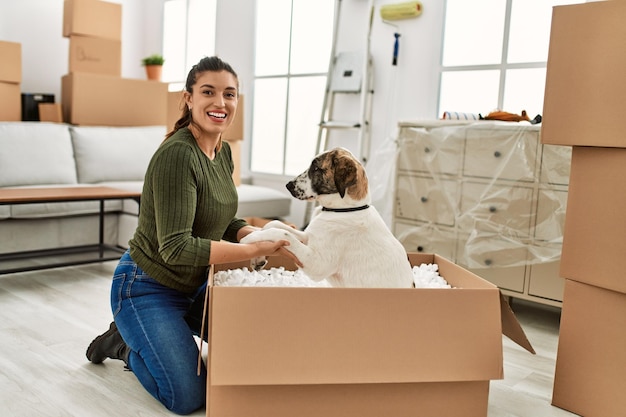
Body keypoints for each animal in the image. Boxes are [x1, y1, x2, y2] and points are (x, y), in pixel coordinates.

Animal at [240, 145, 414, 286]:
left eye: (316, 168)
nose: (288, 185)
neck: (344, 210)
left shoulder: (317, 263)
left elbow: (283, 233)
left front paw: (248, 239)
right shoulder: (308, 236)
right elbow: (274, 224)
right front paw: (258, 256)